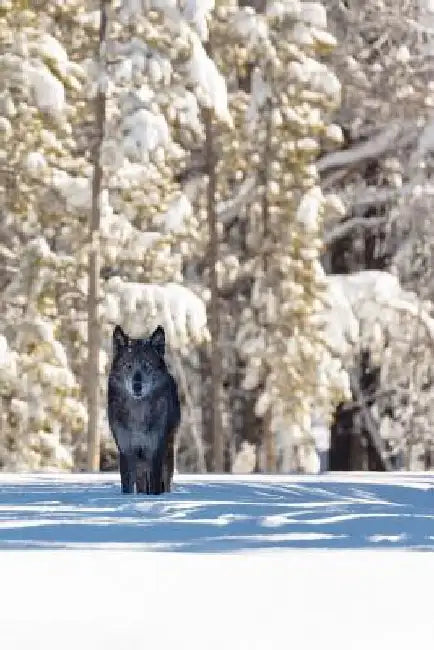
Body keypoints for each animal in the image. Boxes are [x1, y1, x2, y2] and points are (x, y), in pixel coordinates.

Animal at [107, 325, 181, 495]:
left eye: (147, 365)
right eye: (128, 366)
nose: (137, 386)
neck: (138, 413)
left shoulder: (155, 452)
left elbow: (155, 487)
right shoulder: (126, 452)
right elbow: (127, 487)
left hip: (167, 452)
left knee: (166, 481)